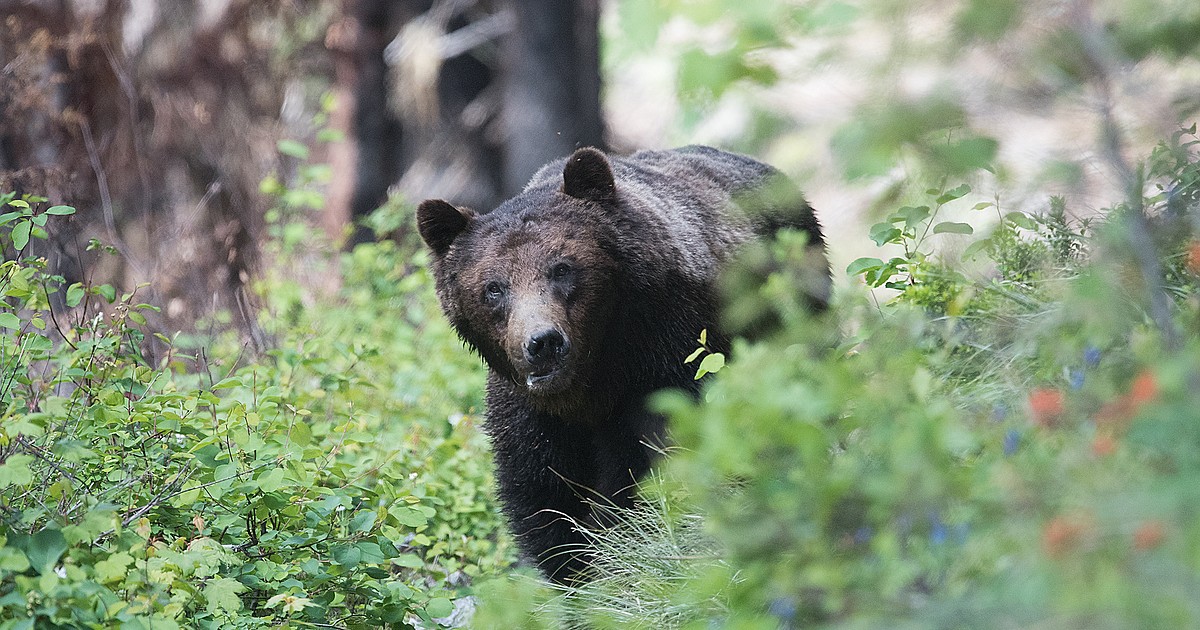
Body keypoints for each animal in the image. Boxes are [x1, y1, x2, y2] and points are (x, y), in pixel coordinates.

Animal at [416, 145, 830, 583]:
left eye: (562, 268)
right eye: (493, 288)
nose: (542, 343)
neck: (595, 376)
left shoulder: (667, 356)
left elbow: (647, 459)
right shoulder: (530, 410)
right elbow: (542, 490)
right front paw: (574, 568)